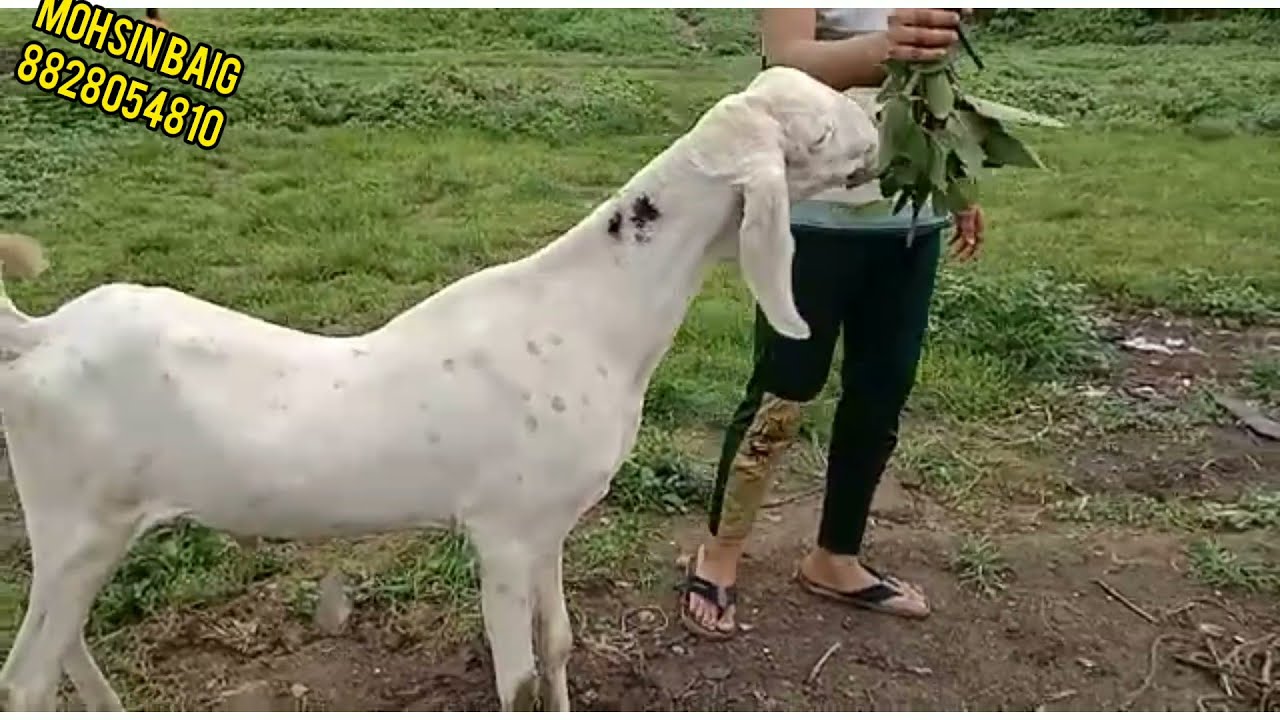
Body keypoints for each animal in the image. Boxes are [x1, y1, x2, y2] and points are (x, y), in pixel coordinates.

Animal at [0, 65, 878, 712]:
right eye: (816, 133)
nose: (876, 125)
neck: (588, 313)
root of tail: (40, 334)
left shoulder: (550, 525)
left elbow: (558, 645)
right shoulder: (502, 533)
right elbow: (517, 683)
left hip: (84, 537)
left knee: (62, 644)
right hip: (79, 526)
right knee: (26, 679)